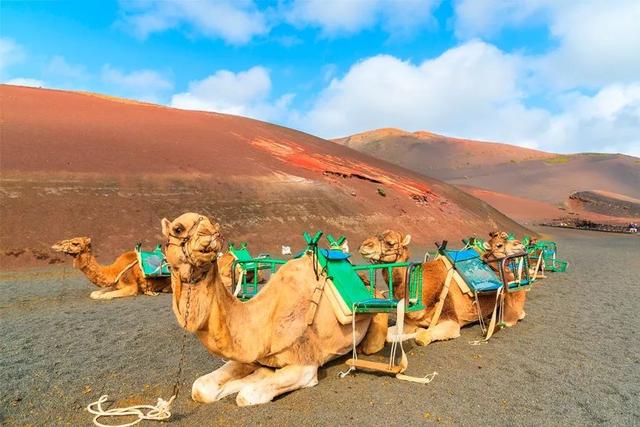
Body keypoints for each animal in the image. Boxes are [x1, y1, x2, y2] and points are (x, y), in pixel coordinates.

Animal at [162, 214, 388, 408]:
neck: (263, 322)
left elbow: (247, 394)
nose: (210, 235)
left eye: (214, 226)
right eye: (178, 228)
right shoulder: (250, 354)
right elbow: (200, 387)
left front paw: (253, 380)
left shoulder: (305, 366)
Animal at [358, 231, 528, 348]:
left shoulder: (451, 321)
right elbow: (389, 334)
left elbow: (421, 337)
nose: (364, 245)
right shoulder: (409, 322)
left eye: (390, 243)